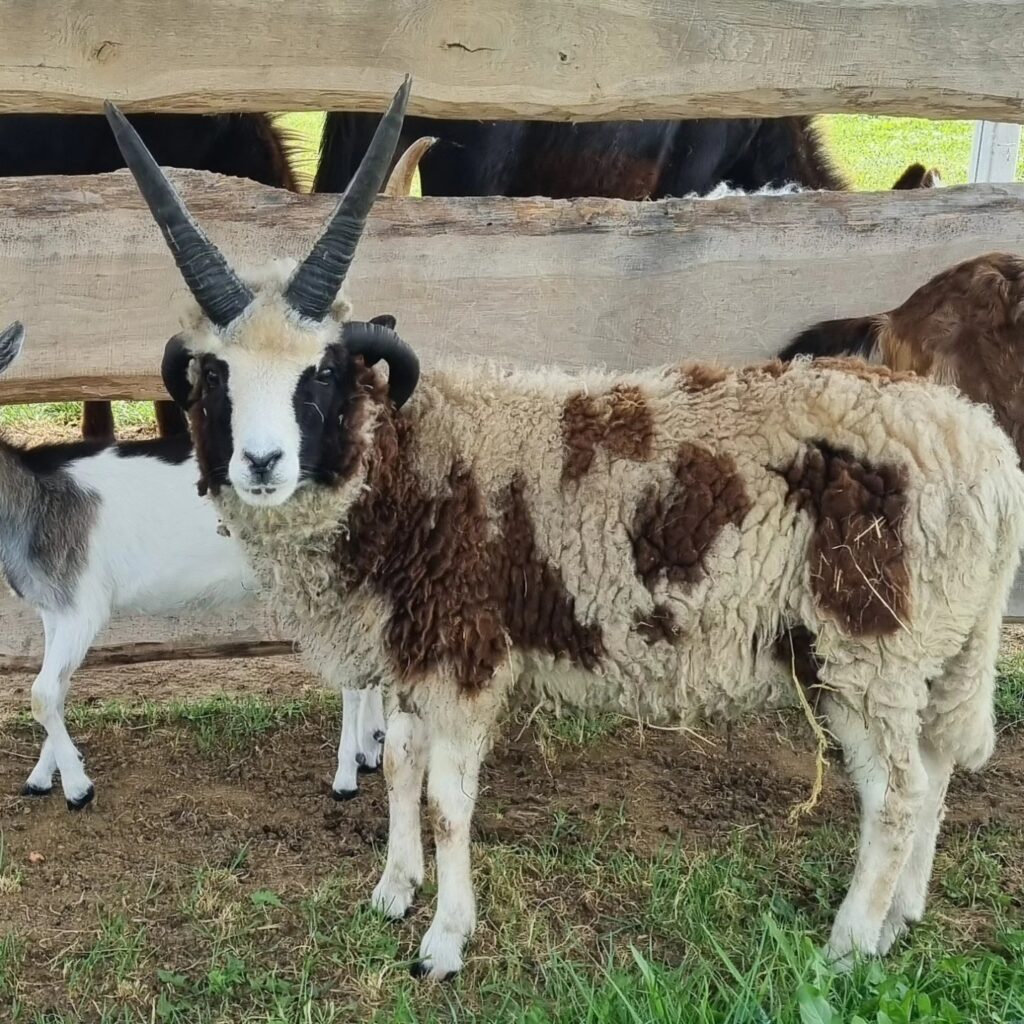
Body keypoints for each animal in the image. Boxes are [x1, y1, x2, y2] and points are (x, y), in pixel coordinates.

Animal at [0, 321, 389, 808]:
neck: (34, 499)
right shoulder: (55, 607)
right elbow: (57, 688)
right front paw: (41, 776)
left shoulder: (82, 606)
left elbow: (42, 693)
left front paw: (77, 789)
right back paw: (371, 748)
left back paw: (346, 775)